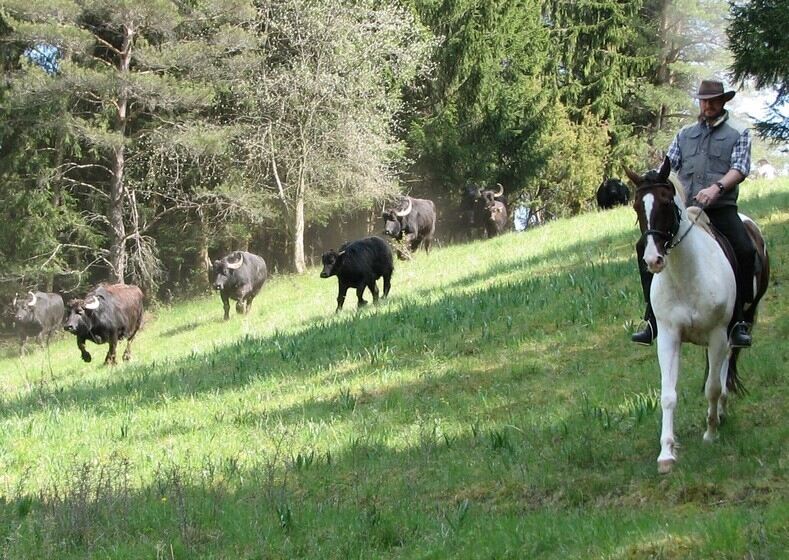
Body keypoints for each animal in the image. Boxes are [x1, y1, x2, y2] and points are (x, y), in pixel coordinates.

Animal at [624, 158, 768, 472]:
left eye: (666, 202)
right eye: (637, 206)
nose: (653, 260)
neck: (685, 275)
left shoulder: (717, 335)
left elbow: (712, 387)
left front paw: (710, 433)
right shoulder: (668, 336)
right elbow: (668, 395)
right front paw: (666, 453)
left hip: (738, 326)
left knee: (726, 368)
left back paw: (720, 413)